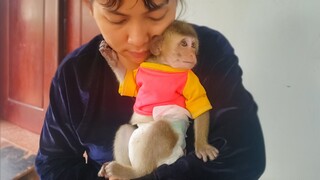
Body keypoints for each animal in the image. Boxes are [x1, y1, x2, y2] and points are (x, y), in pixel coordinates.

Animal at [98, 20, 218, 179]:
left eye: (193, 45)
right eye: (184, 44)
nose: (192, 54)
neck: (163, 65)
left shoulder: (190, 79)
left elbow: (198, 104)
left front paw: (202, 146)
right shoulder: (141, 71)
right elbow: (130, 83)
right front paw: (112, 59)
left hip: (170, 152)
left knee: (160, 128)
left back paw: (133, 172)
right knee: (125, 129)